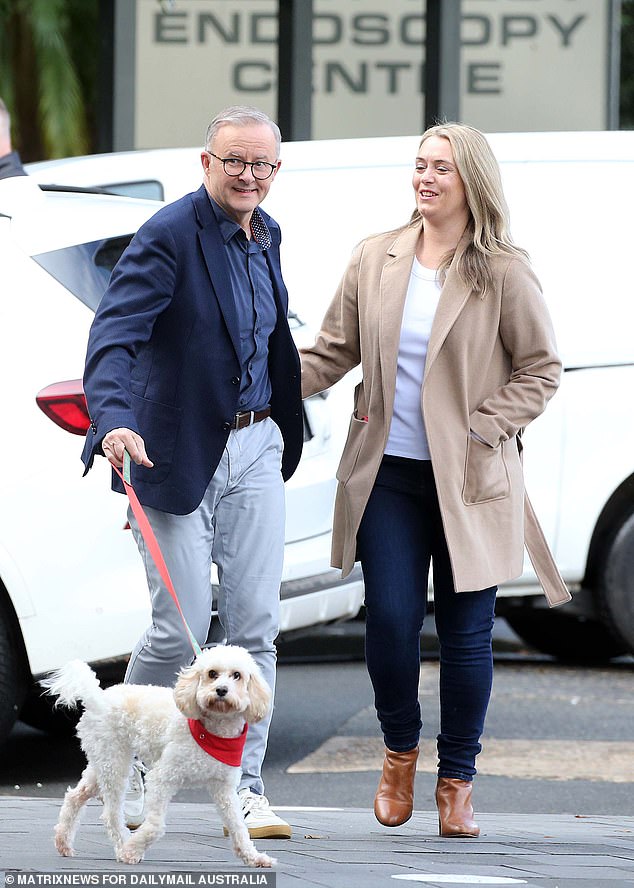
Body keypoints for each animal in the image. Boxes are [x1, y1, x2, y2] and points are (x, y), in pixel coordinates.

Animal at [42, 644, 274, 868]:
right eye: (212, 673)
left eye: (237, 675)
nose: (221, 690)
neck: (212, 733)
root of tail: (98, 697)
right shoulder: (163, 778)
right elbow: (155, 825)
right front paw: (131, 850)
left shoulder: (223, 788)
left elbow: (238, 826)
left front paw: (253, 857)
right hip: (114, 762)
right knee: (111, 814)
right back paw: (122, 846)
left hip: (102, 761)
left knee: (75, 796)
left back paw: (63, 842)